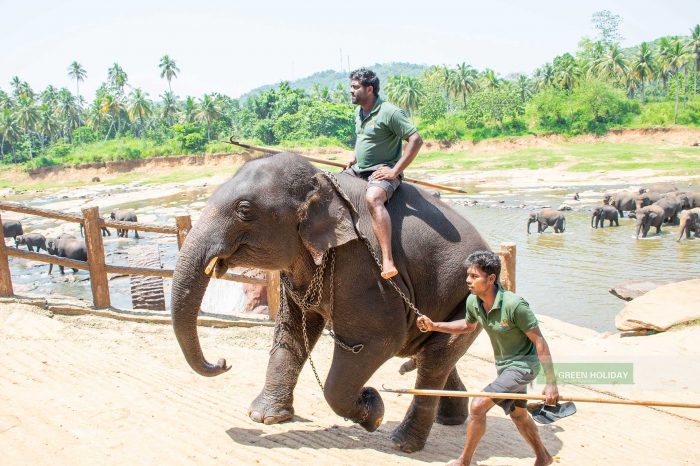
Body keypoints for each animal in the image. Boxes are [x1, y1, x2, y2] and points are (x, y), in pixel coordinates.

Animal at [170, 152, 492, 453]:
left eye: (245, 210)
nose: (223, 362)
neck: (321, 181)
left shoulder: (364, 266)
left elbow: (377, 340)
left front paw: (373, 410)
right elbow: (291, 329)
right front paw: (265, 417)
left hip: (471, 298)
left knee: (434, 359)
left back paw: (403, 443)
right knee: (434, 354)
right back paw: (449, 420)